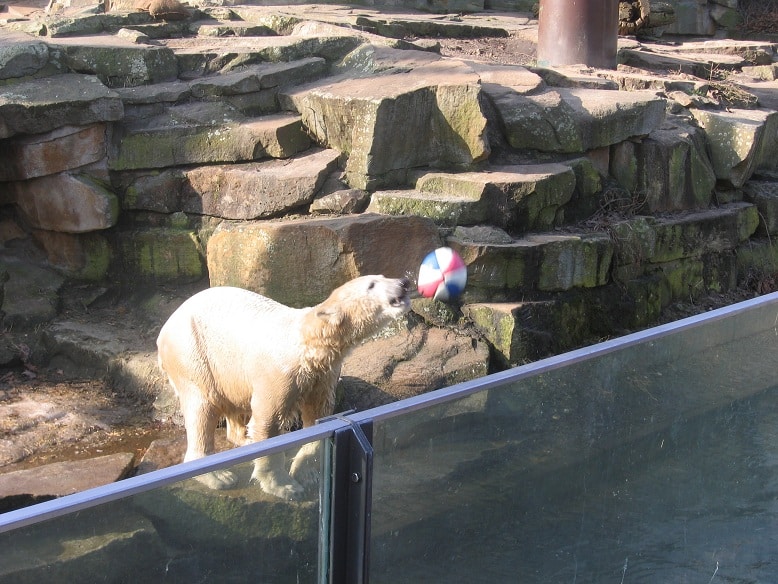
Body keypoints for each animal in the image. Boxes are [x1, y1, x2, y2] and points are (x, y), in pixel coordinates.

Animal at [155, 276, 410, 500]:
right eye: (372, 284)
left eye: (383, 275)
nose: (403, 282)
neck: (308, 342)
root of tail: (163, 330)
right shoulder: (279, 372)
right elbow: (268, 421)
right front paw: (285, 487)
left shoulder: (322, 375)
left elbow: (318, 416)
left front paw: (307, 473)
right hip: (193, 353)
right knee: (202, 407)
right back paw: (219, 475)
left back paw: (245, 441)